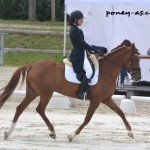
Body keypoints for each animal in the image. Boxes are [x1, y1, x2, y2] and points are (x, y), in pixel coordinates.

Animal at [0, 43, 141, 141]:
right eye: (135, 58)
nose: (138, 77)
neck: (106, 71)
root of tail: (32, 65)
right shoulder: (96, 100)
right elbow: (87, 118)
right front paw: (72, 136)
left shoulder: (106, 99)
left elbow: (121, 113)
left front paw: (130, 132)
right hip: (46, 93)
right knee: (40, 109)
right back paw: (52, 132)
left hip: (32, 92)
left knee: (20, 108)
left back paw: (8, 133)